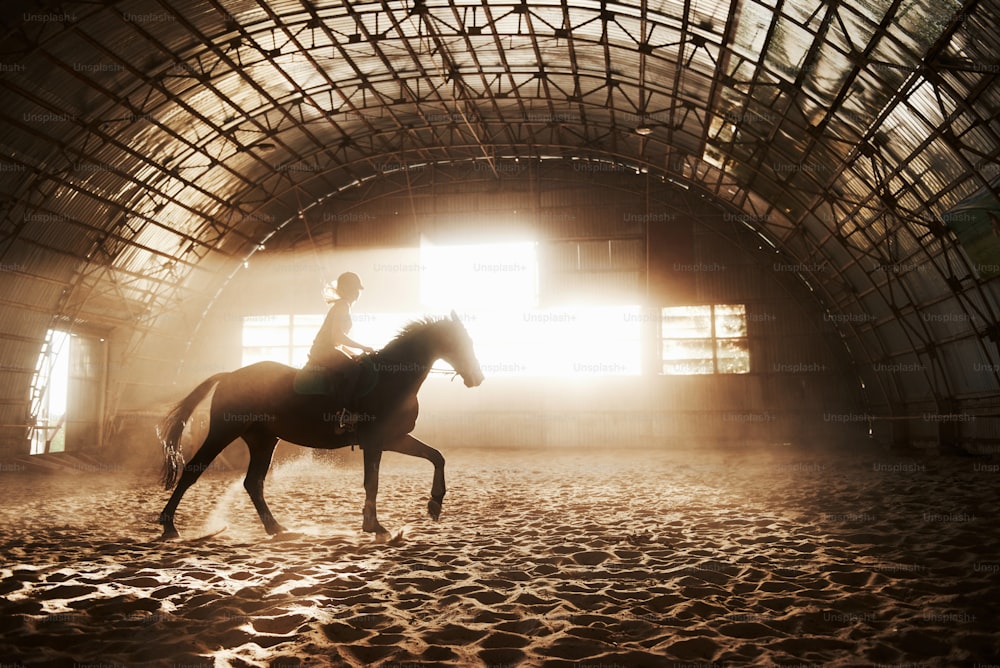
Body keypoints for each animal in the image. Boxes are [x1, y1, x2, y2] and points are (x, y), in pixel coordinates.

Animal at [156, 310, 484, 540]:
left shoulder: (394, 438)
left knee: (253, 483)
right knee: (193, 471)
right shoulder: (375, 442)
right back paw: (169, 525)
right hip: (223, 431)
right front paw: (374, 525)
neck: (392, 378)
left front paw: (435, 503)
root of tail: (230, 375)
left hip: (264, 439)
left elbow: (436, 457)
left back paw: (276, 528)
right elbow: (372, 482)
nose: (477, 379)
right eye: (459, 342)